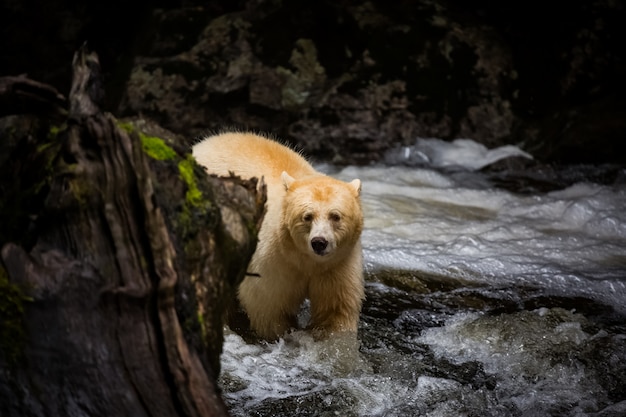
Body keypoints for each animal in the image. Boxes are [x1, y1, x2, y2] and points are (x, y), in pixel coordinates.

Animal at [193, 132, 364, 340]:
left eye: (335, 216)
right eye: (307, 216)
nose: (319, 242)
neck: (305, 260)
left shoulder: (337, 265)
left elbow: (334, 310)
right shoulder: (274, 259)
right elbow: (269, 306)